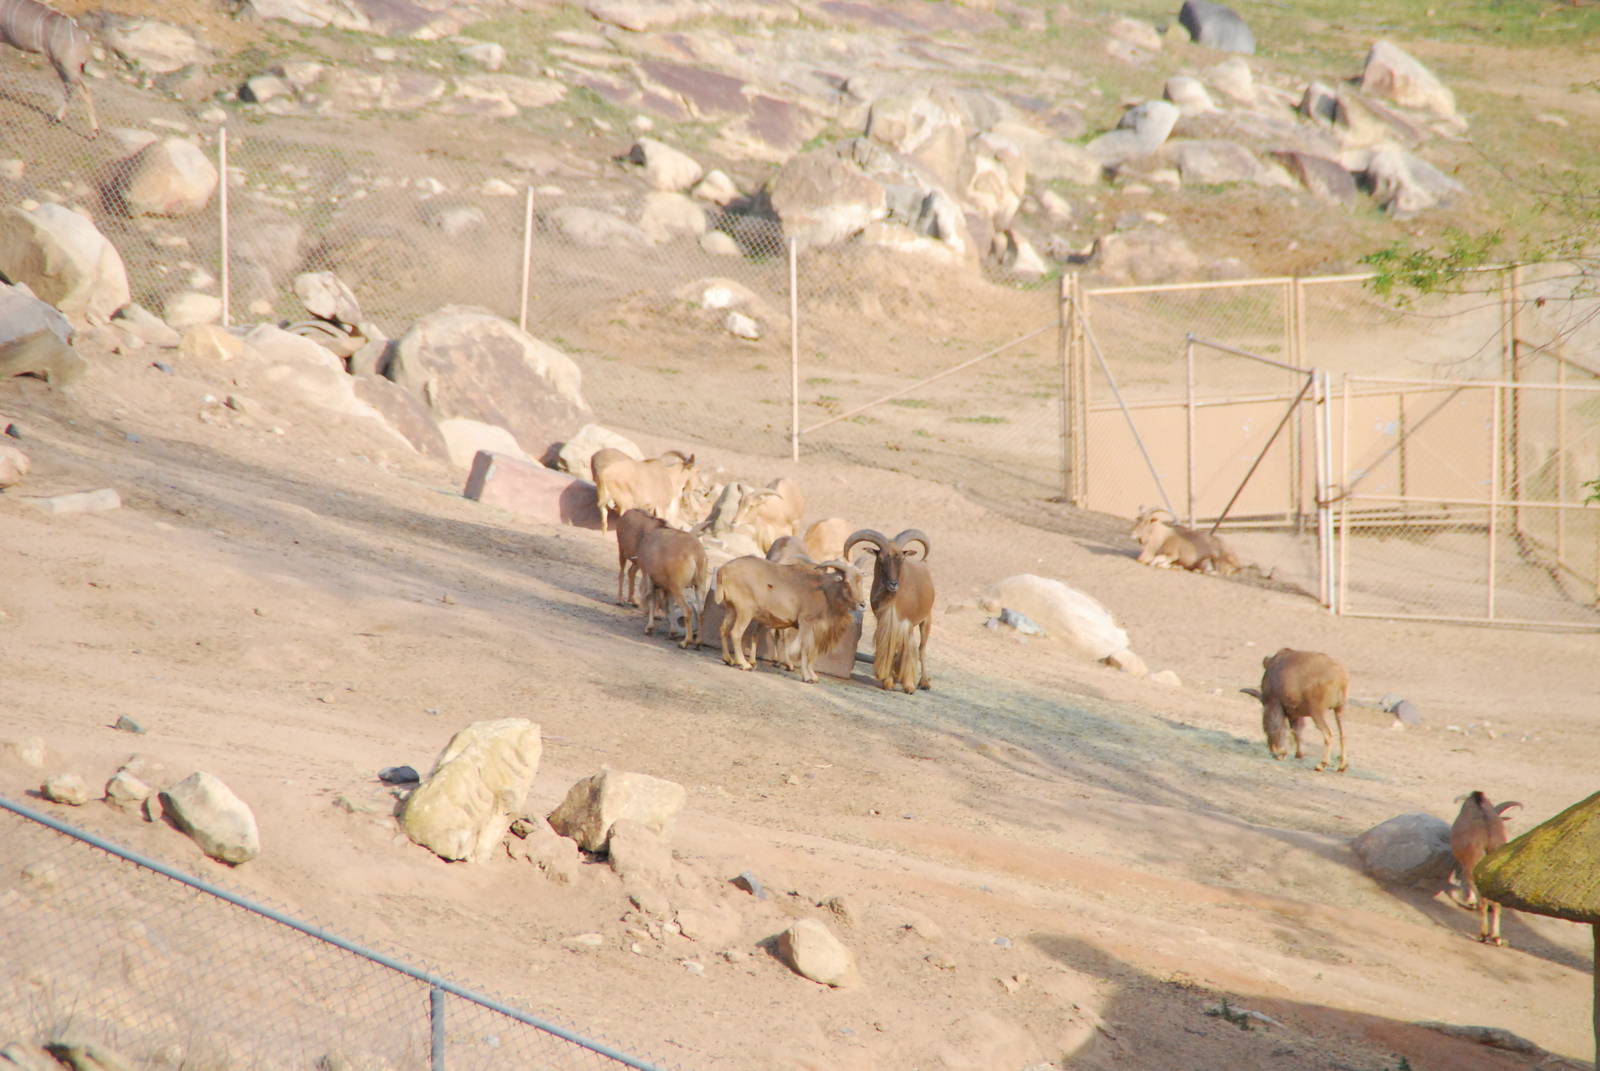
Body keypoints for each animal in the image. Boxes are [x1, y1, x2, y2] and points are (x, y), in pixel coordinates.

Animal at [0, 0, 97, 136]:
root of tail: (85, 36)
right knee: (70, 86)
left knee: (82, 89)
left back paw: (93, 131)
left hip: (66, 65)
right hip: (61, 65)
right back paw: (58, 118)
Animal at [712, 555, 864, 683]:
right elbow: (805, 647)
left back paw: (728, 659)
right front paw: (807, 677)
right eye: (847, 582)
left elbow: (813, 649)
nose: (862, 604)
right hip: (745, 611)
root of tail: (723, 570)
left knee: (723, 629)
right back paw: (744, 664)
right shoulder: (806, 622)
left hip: (731, 609)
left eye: (860, 582)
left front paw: (813, 676)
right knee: (736, 633)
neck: (824, 591)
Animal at [842, 528, 935, 694]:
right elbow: (891, 650)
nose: (893, 584)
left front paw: (909, 686)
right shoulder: (884, 623)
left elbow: (909, 650)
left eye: (901, 559)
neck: (892, 599)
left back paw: (924, 682)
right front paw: (888, 682)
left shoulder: (905, 624)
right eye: (880, 559)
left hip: (926, 620)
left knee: (922, 649)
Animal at [1448, 790, 1523, 946]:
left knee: (1482, 901)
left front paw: (1470, 902)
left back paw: (1483, 935)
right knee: (1497, 903)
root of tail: (1488, 838)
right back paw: (1496, 937)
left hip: (1474, 864)